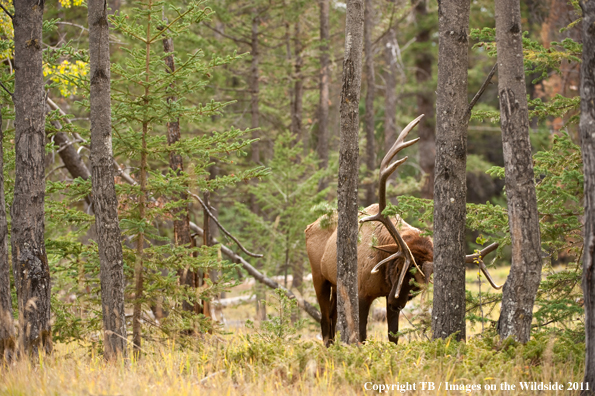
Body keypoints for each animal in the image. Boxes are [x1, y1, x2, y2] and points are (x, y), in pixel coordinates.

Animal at [308, 113, 502, 344]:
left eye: (418, 285)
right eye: (400, 268)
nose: (396, 302)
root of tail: (310, 225)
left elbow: (393, 336)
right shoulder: (362, 292)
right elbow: (361, 335)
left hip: (337, 285)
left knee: (332, 318)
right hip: (319, 277)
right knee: (325, 321)